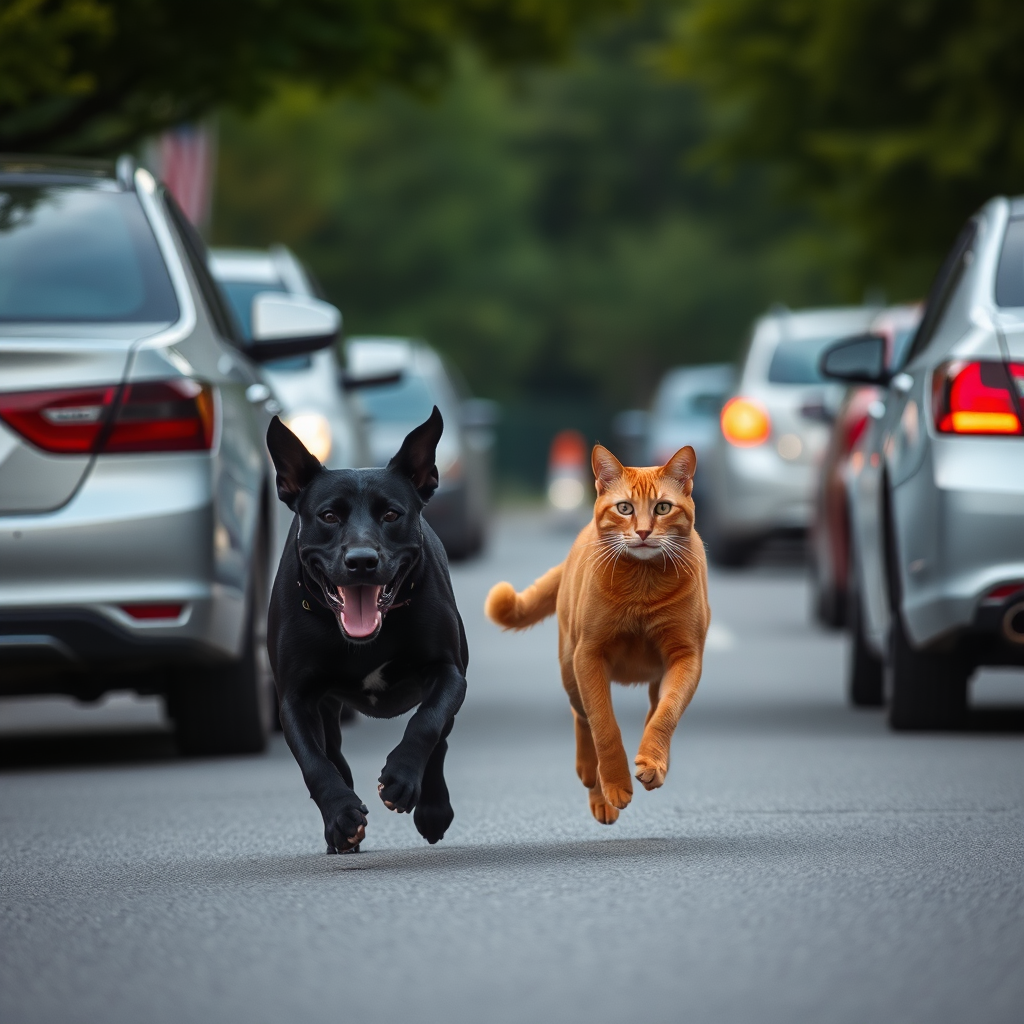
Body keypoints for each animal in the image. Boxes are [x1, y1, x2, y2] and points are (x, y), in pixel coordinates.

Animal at [266, 411, 468, 851]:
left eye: (391, 514)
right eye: (328, 516)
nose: (361, 560)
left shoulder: (448, 672)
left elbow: (427, 723)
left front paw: (402, 779)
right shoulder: (296, 699)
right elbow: (315, 762)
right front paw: (341, 815)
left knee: (440, 737)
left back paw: (433, 808)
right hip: (327, 710)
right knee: (334, 756)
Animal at [483, 444, 708, 819]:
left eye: (662, 507)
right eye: (625, 508)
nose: (643, 532)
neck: (642, 586)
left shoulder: (685, 655)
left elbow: (666, 714)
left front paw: (653, 763)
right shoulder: (589, 654)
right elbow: (604, 724)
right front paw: (615, 785)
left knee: (651, 707)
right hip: (570, 668)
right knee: (582, 717)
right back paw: (595, 785)